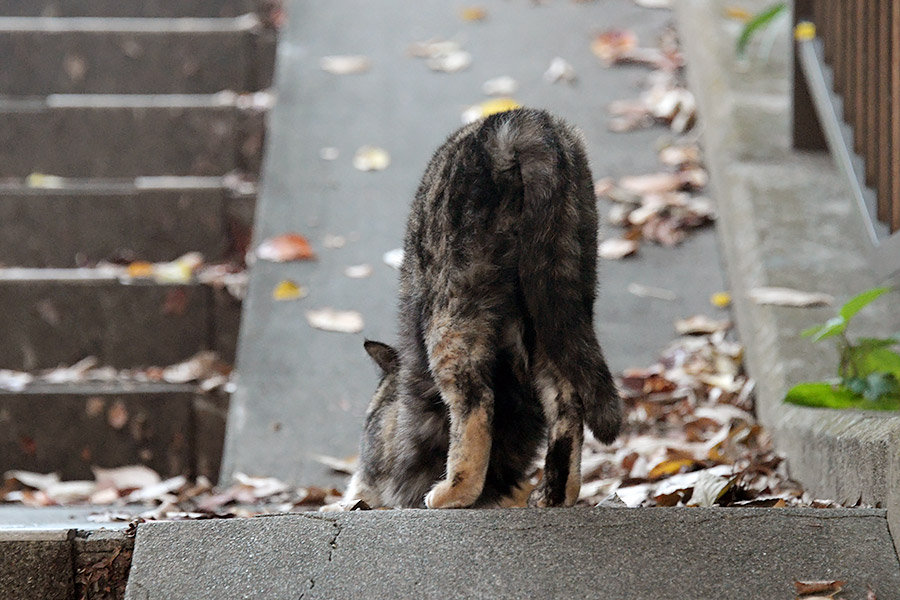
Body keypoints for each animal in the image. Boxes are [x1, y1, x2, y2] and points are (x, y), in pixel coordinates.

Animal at [334, 109, 624, 510]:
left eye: (369, 419)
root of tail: (515, 123)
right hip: (556, 300)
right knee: (567, 401)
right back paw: (553, 495)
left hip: (453, 307)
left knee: (477, 401)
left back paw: (450, 493)